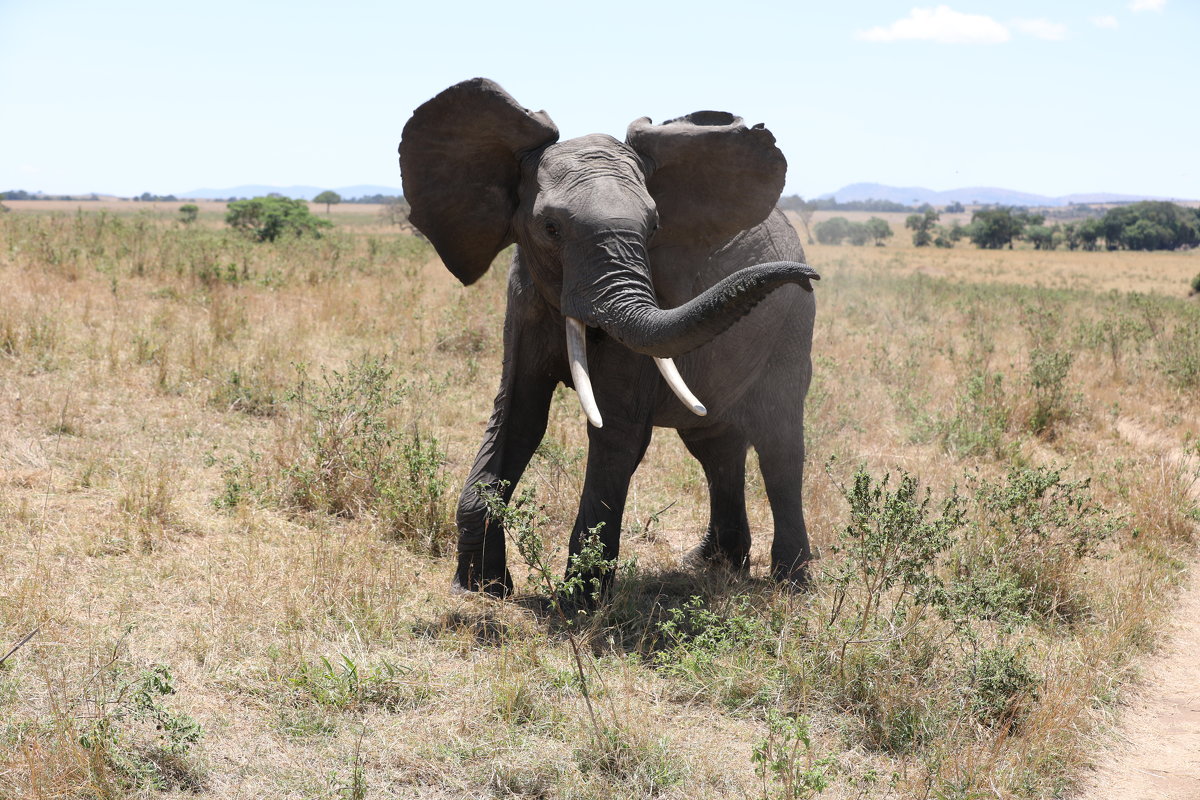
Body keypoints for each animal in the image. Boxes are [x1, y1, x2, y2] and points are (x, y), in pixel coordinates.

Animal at [398, 77, 820, 597]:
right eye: (550, 228)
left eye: (654, 226)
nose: (808, 278)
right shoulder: (523, 295)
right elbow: (517, 416)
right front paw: (482, 587)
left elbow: (615, 430)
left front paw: (576, 602)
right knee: (714, 443)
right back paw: (715, 563)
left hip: (793, 325)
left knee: (778, 444)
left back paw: (791, 581)